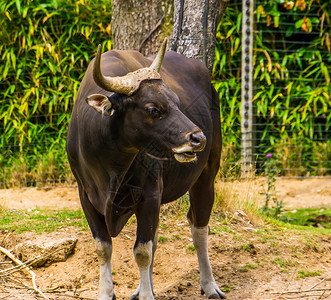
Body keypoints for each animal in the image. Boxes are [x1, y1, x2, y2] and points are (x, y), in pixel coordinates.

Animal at [65, 38, 226, 298]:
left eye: (177, 102)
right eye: (152, 109)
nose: (198, 138)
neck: (110, 167)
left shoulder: (149, 194)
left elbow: (142, 251)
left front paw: (147, 295)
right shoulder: (86, 196)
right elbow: (103, 248)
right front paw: (107, 292)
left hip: (206, 175)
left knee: (199, 228)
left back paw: (210, 285)